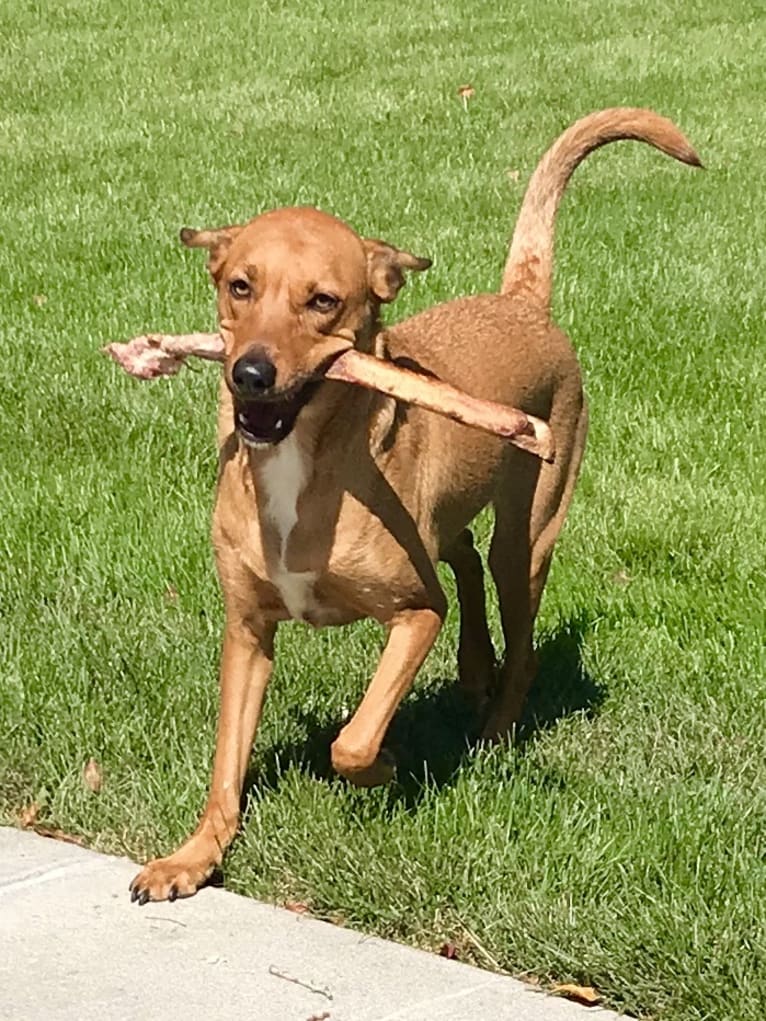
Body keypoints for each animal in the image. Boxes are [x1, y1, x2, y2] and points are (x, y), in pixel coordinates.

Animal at [130, 105, 702, 902]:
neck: (305, 464)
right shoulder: (246, 629)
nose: (250, 373)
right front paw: (192, 858)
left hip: (528, 534)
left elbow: (352, 740)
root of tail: (520, 300)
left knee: (515, 627)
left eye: (324, 301)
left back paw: (493, 730)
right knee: (461, 556)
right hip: (448, 519)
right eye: (240, 286)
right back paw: (475, 668)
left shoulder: (415, 612)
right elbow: (225, 765)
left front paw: (386, 767)